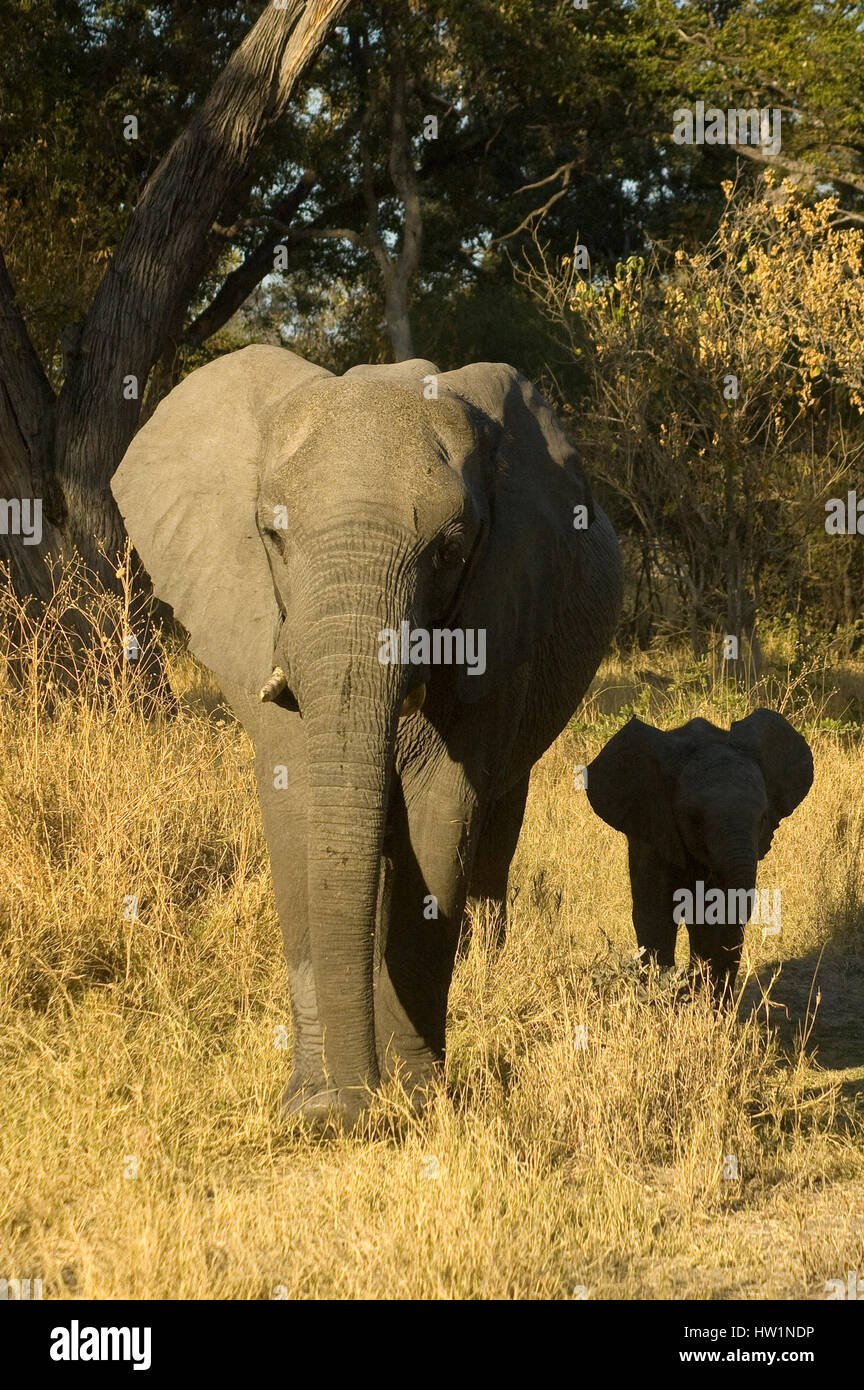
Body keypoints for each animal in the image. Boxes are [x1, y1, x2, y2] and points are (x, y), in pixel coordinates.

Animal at [111, 345, 622, 1130]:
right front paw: (310, 1104)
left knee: (496, 823)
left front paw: (414, 1101)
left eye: (450, 551)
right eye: (272, 536)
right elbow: (297, 819)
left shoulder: (500, 611)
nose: (352, 1108)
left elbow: (443, 818)